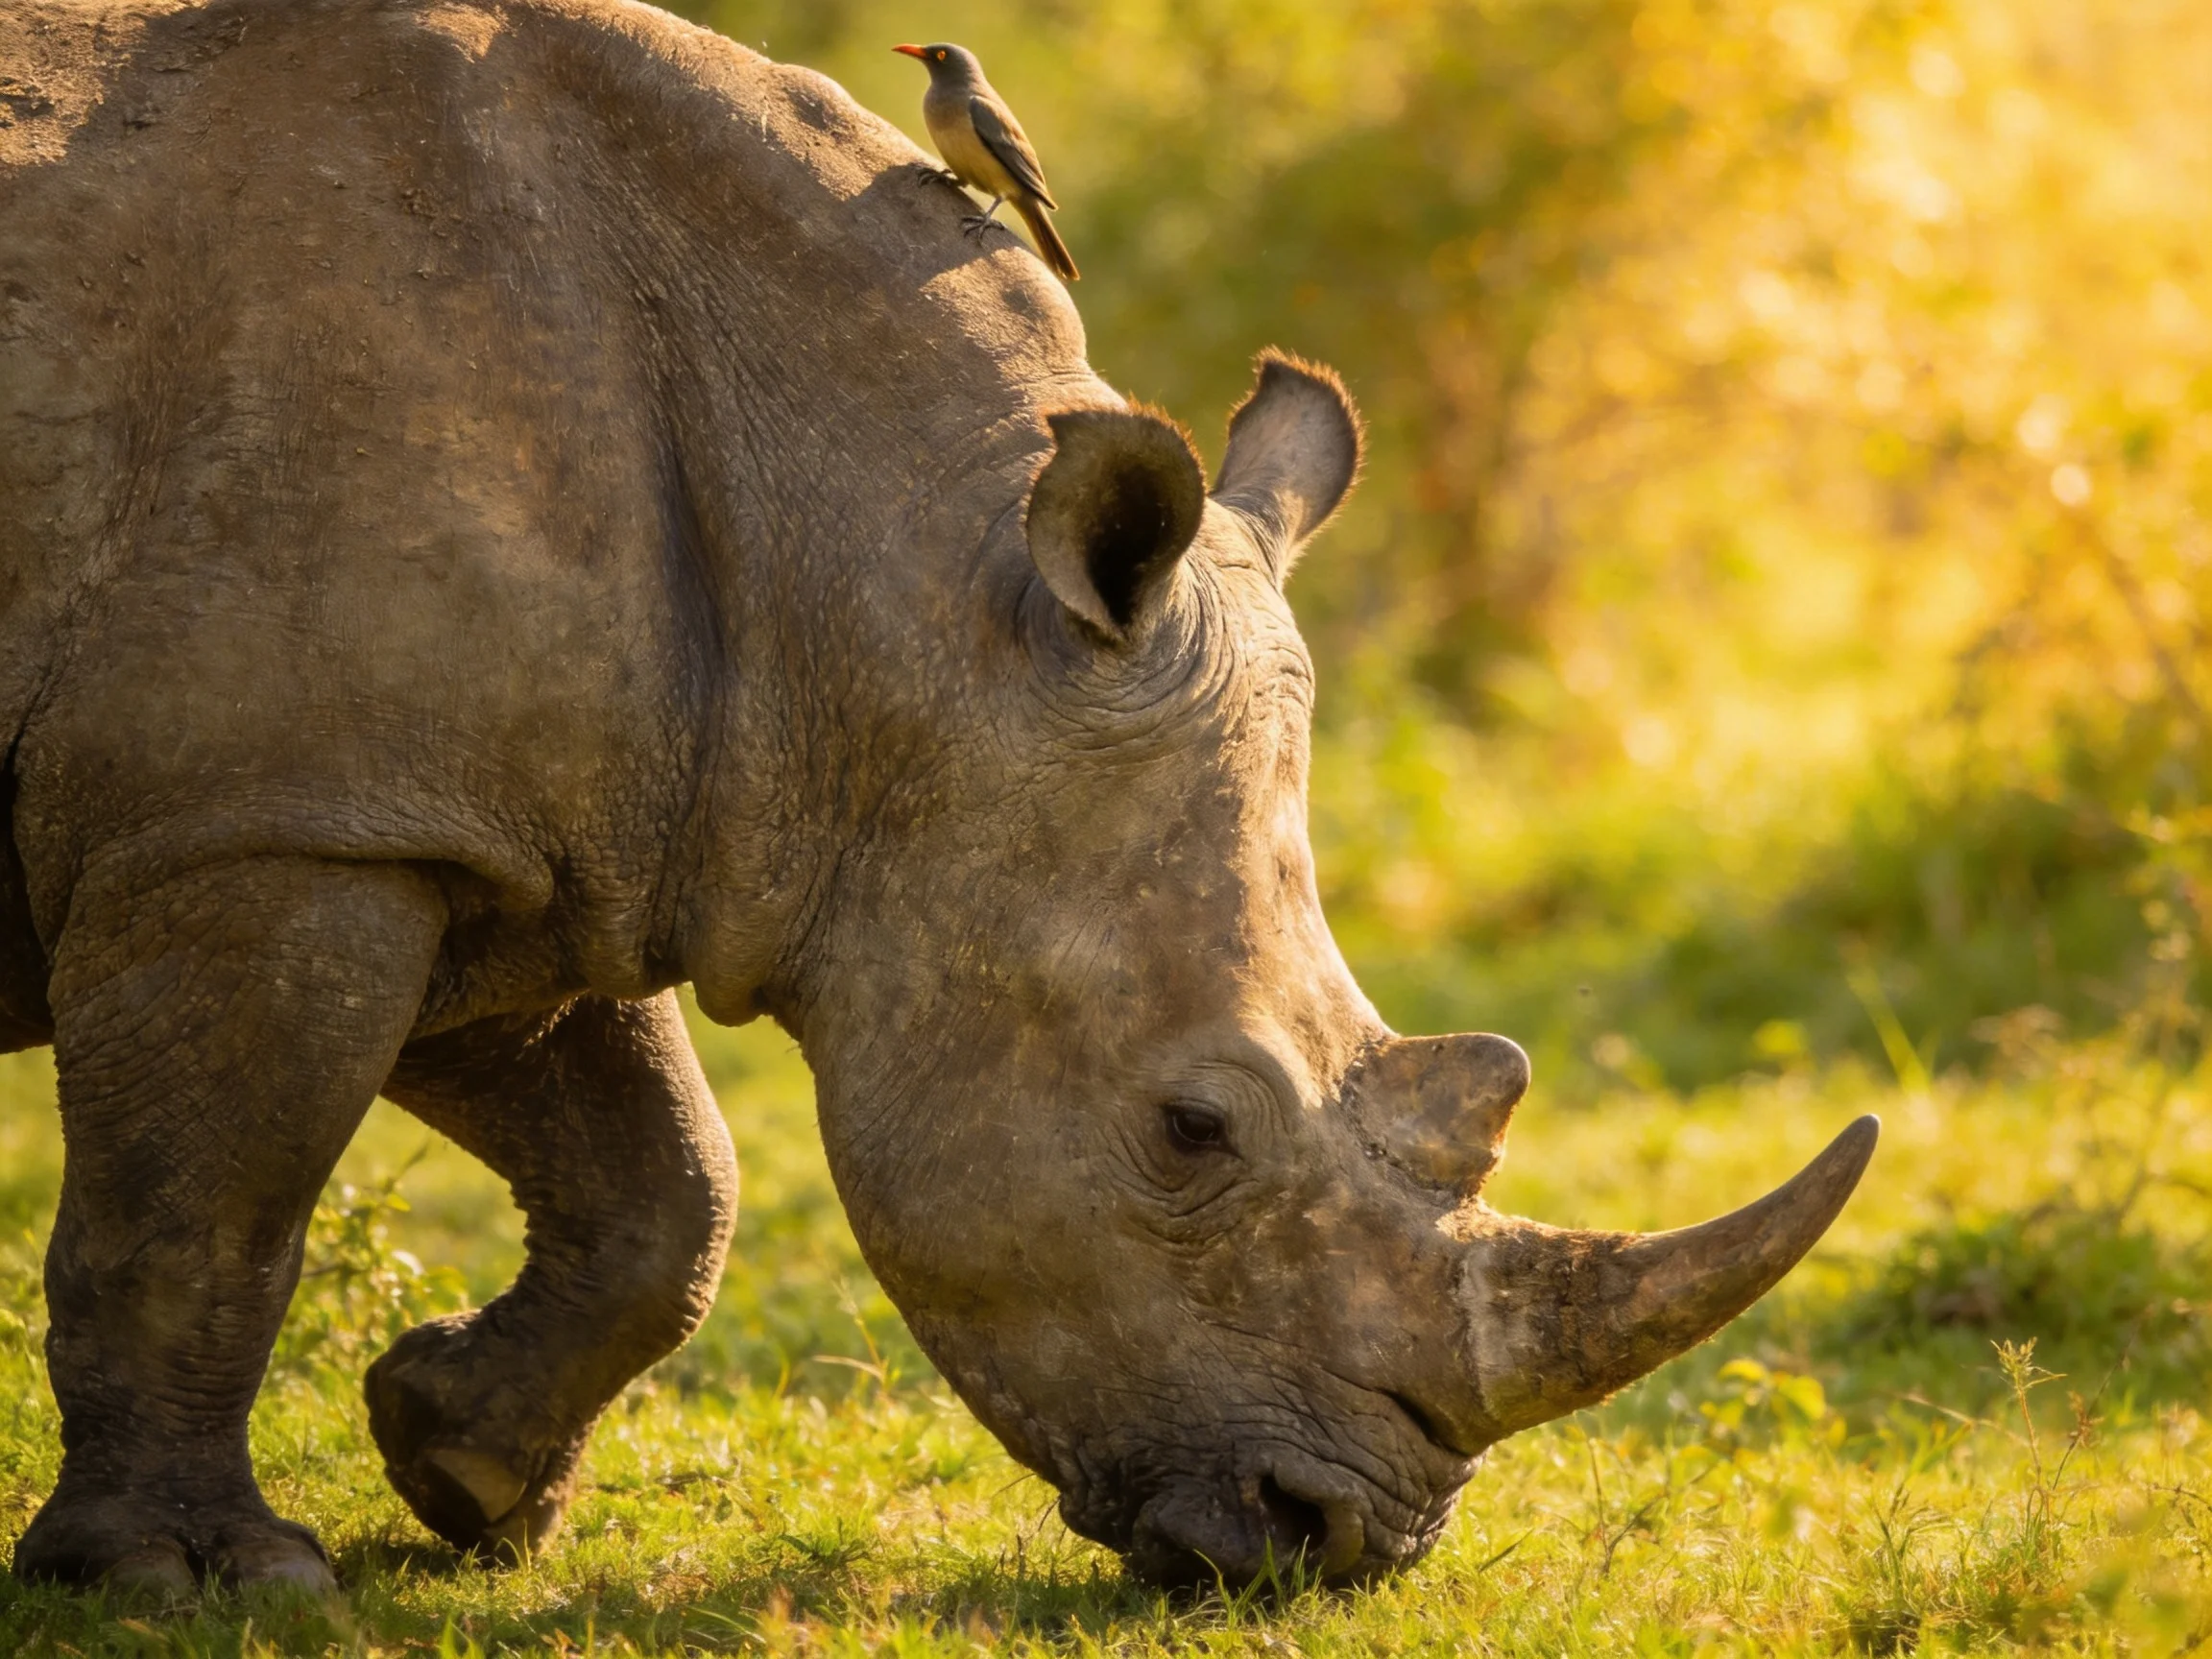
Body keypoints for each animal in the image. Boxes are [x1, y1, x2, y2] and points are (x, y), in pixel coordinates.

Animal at [0, 0, 1876, 1593]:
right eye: (1189, 1130)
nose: (1341, 1539)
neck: (890, 581)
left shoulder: (481, 816)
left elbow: (666, 1187)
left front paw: (461, 1471)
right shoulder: (267, 824)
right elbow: (202, 1217)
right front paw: (185, 1579)